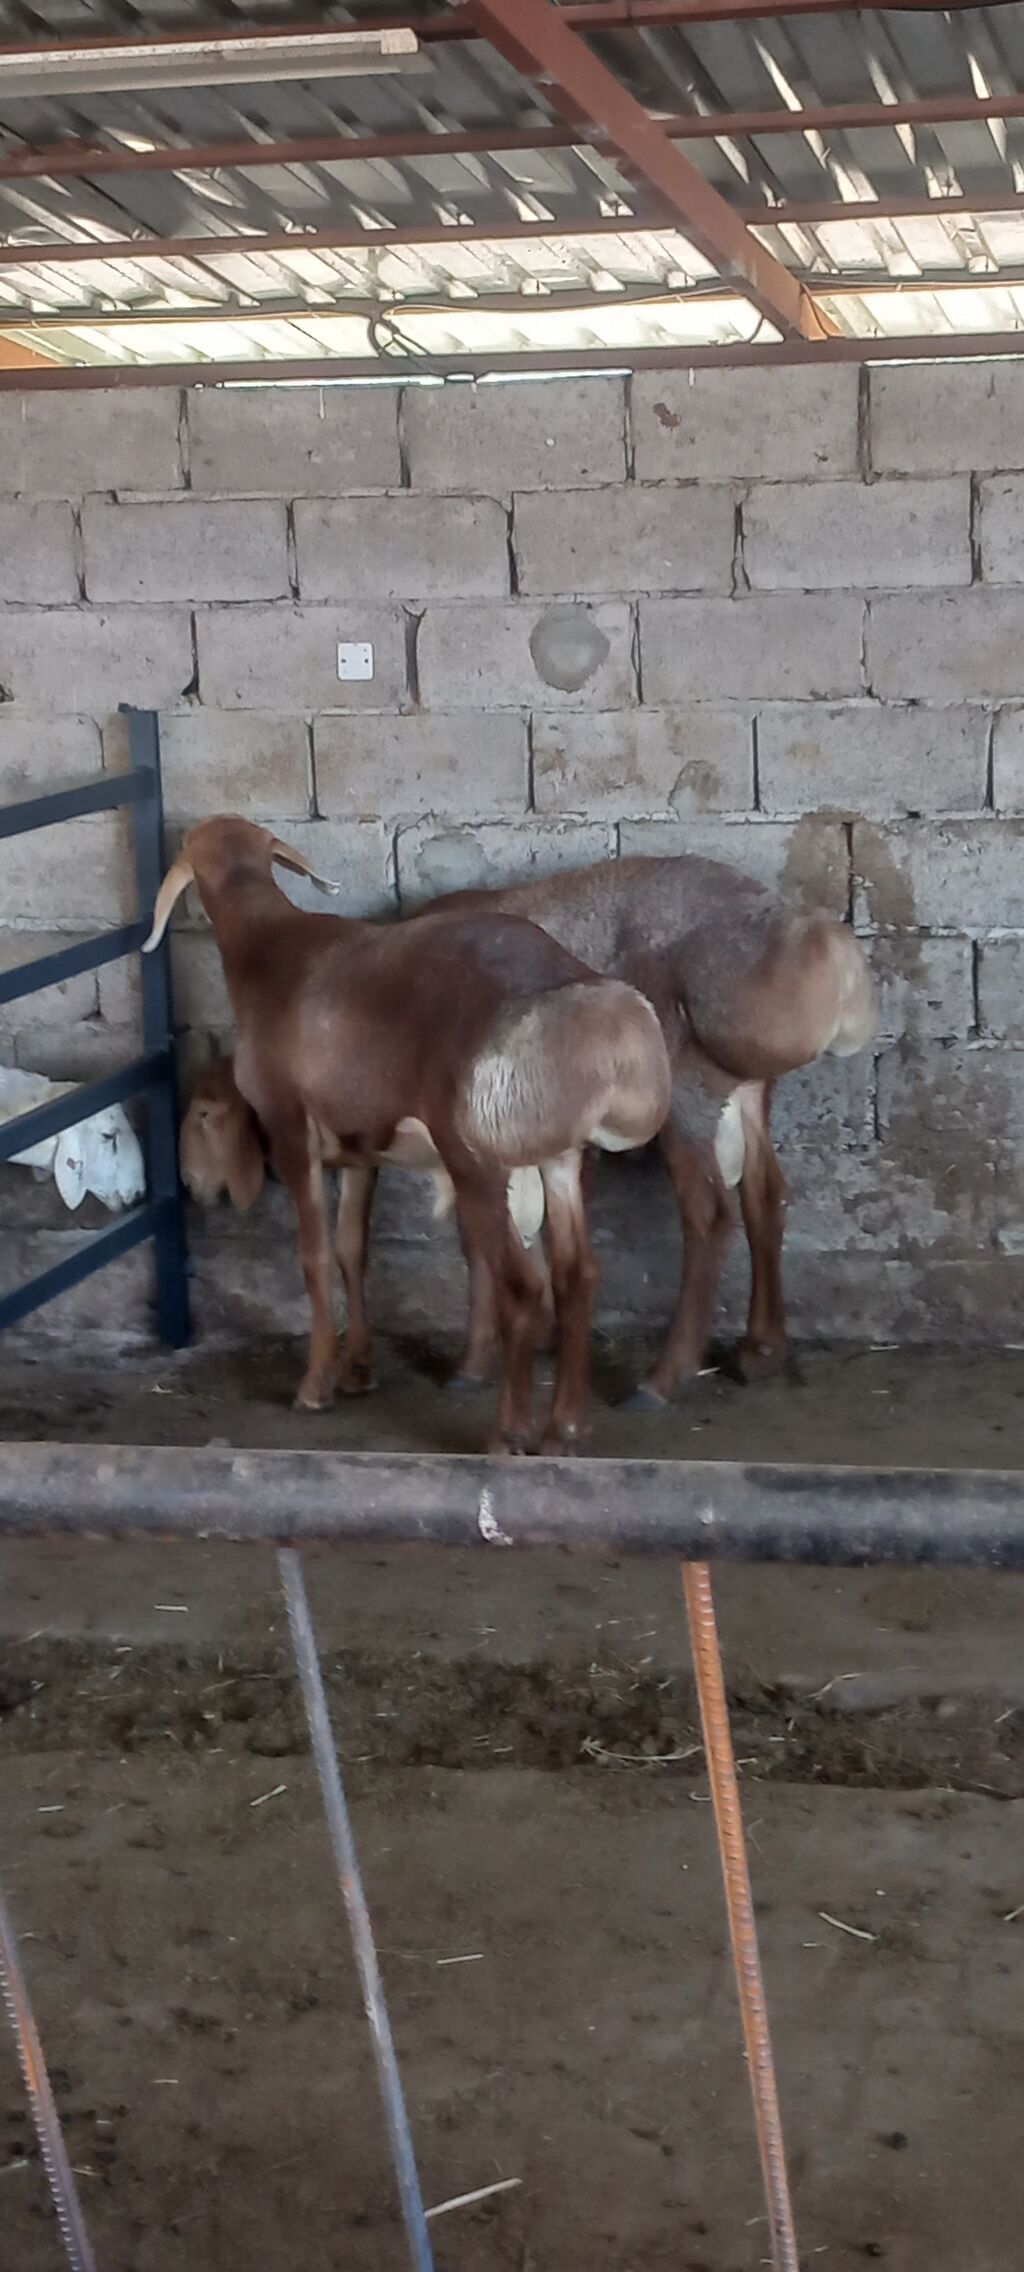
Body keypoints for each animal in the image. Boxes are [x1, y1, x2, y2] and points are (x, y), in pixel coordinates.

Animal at [146, 817, 670, 1451]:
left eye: (202, 1114)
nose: (189, 1184)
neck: (265, 946)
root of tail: (607, 1034)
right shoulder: (360, 1149)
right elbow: (352, 1251)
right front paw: (358, 1370)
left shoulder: (292, 1131)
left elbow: (314, 1258)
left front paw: (315, 1385)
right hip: (559, 1156)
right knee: (578, 1275)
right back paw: (565, 1427)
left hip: (478, 1160)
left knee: (523, 1289)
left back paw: (507, 1435)